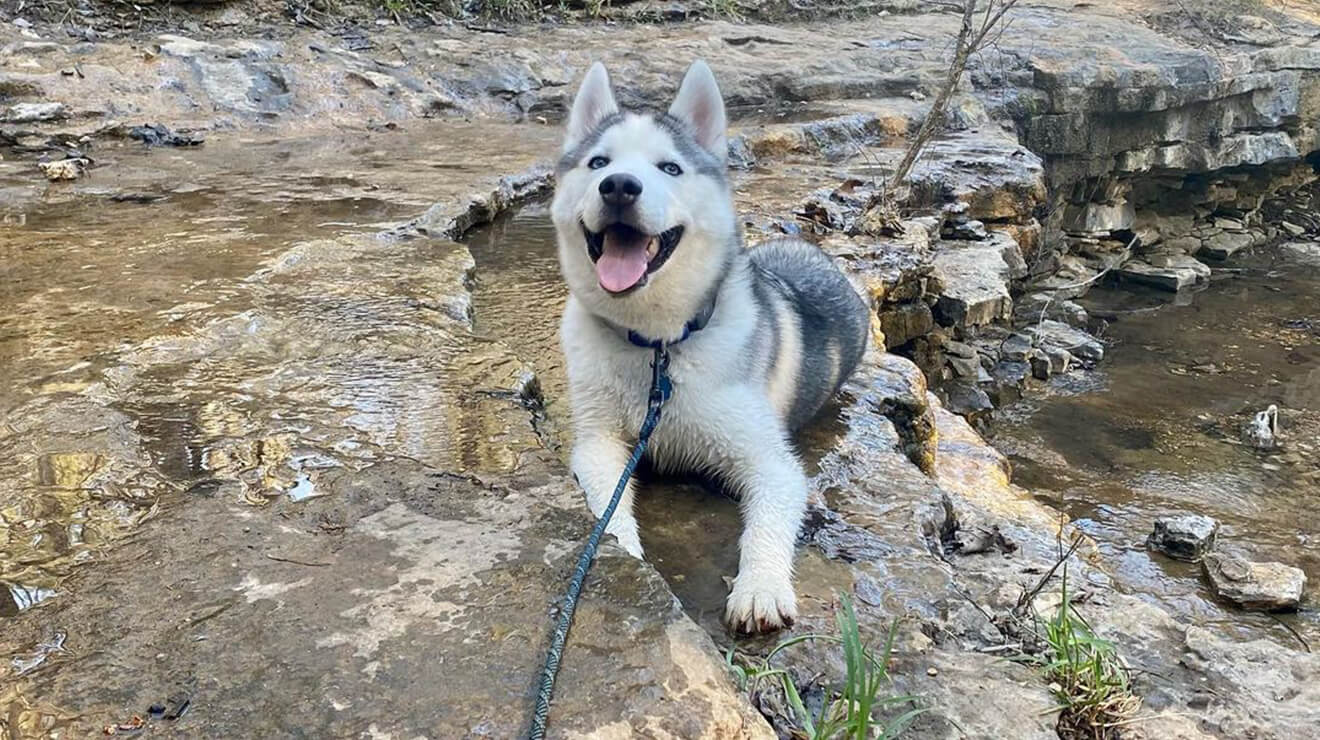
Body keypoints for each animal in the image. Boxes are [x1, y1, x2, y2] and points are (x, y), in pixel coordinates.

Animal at [551, 59, 871, 635]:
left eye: (670, 168)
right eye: (598, 162)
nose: (619, 186)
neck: (657, 347)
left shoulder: (772, 463)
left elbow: (766, 519)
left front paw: (761, 587)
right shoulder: (598, 442)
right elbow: (607, 504)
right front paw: (622, 547)